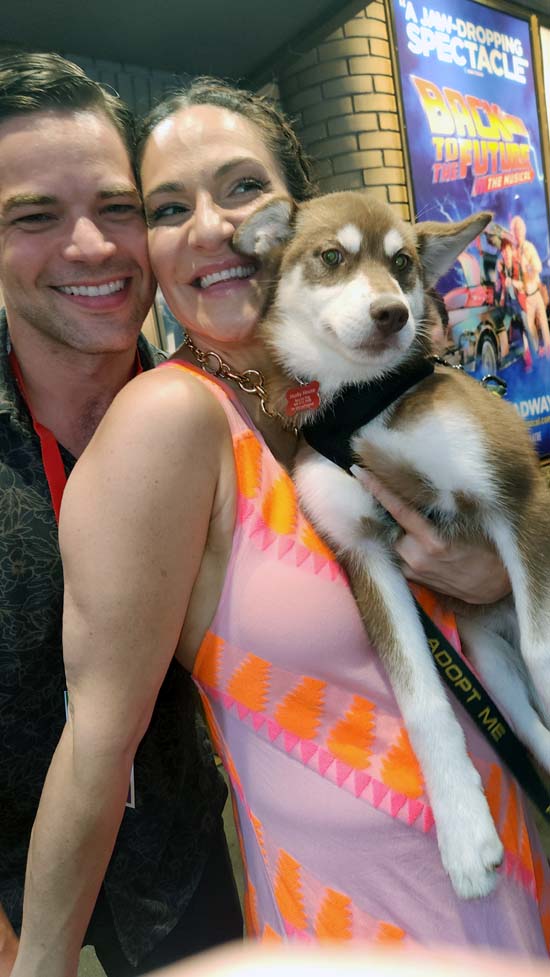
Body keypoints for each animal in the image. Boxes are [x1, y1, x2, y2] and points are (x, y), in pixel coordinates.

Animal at [235, 194, 550, 904]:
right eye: (332, 256)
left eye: (403, 263)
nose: (394, 314)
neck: (362, 406)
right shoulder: (365, 555)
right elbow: (422, 698)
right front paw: (464, 833)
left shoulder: (517, 494)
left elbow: (546, 650)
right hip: (485, 655)